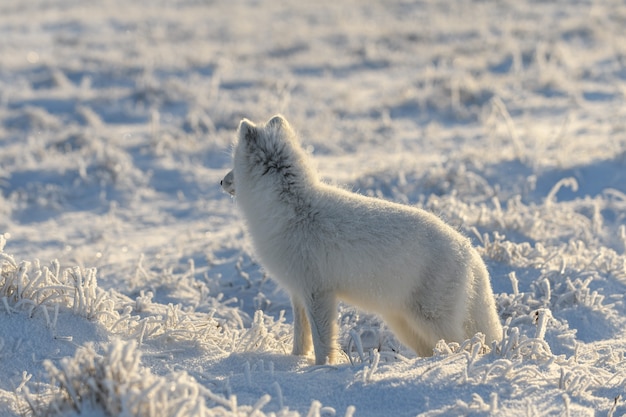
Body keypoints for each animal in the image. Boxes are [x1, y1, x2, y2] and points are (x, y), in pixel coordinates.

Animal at [222, 114, 500, 364]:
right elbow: (302, 337)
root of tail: (471, 253)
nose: (221, 181)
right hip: (406, 324)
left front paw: (321, 369)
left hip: (431, 319)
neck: (292, 208)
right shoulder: (298, 292)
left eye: (234, 164)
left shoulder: (318, 292)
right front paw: (295, 362)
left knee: (461, 346)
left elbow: (323, 342)